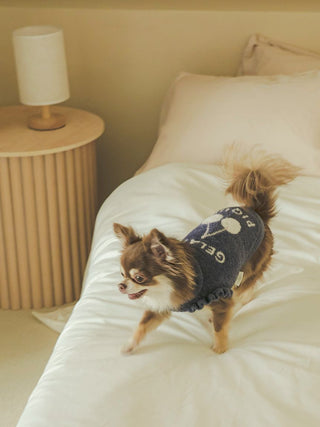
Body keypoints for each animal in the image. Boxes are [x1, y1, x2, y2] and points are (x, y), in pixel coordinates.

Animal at [114, 149, 298, 356]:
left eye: (139, 278)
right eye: (121, 274)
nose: (121, 285)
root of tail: (256, 212)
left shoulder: (221, 298)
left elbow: (220, 327)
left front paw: (219, 350)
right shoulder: (162, 306)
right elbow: (142, 326)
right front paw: (129, 346)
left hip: (251, 266)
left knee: (245, 291)